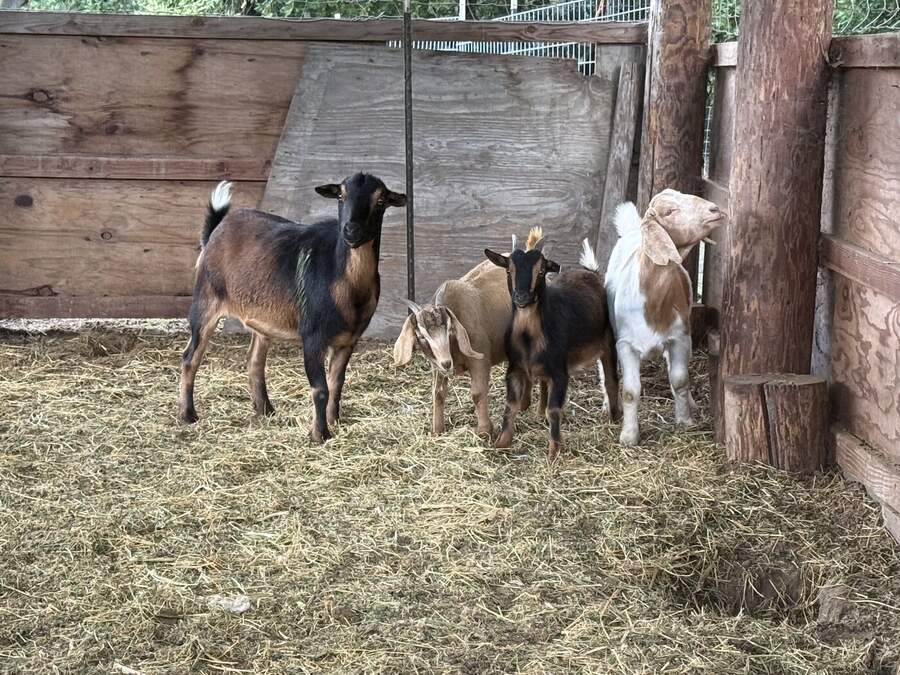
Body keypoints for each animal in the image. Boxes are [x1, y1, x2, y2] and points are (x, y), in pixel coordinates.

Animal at [178, 173, 406, 443]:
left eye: (380, 200)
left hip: (261, 321)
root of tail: (216, 230)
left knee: (254, 361)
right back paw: (188, 415)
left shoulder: (349, 340)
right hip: (206, 301)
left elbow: (336, 383)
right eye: (341, 196)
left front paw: (334, 422)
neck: (344, 281)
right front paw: (319, 434)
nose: (351, 231)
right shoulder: (312, 336)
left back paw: (265, 410)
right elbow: (320, 388)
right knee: (190, 357)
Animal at [393, 228, 547, 437]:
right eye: (422, 336)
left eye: (450, 329)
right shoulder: (436, 366)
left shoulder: (480, 359)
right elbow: (438, 393)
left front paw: (484, 431)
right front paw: (437, 430)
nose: (446, 363)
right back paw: (523, 405)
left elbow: (477, 393)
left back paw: (542, 413)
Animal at [484, 235, 620, 460]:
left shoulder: (559, 371)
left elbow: (554, 409)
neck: (529, 337)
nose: (521, 297)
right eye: (508, 270)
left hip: (609, 343)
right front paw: (501, 443)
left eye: (540, 271)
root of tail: (591, 274)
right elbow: (511, 405)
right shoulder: (515, 368)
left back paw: (615, 418)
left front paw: (554, 450)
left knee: (611, 381)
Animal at [598, 188, 723, 446]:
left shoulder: (680, 337)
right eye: (669, 211)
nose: (715, 209)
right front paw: (629, 436)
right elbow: (630, 391)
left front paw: (685, 421)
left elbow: (680, 379)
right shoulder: (625, 344)